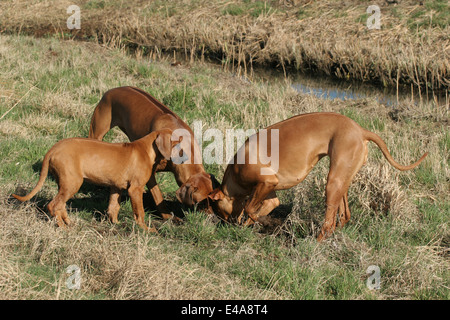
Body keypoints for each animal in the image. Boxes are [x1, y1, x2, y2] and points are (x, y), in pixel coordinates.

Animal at [13, 129, 175, 231]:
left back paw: (69, 222)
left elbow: (113, 207)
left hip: (65, 183)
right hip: (73, 182)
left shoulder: (116, 187)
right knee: (53, 205)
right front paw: (146, 229)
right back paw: (63, 228)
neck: (147, 149)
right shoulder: (135, 189)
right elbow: (139, 212)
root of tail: (53, 148)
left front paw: (116, 224)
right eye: (177, 140)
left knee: (60, 205)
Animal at [88, 85, 218, 220]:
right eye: (200, 202)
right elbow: (158, 195)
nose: (213, 218)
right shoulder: (149, 173)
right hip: (96, 132)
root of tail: (116, 88)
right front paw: (168, 217)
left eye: (212, 201)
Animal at [209, 112, 428, 240]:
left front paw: (255, 221)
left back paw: (314, 243)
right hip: (342, 181)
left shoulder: (267, 182)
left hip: (333, 182)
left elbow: (248, 208)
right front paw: (249, 224)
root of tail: (360, 130)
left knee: (328, 222)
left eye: (219, 210)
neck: (235, 171)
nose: (225, 225)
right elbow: (259, 208)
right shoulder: (270, 192)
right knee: (344, 215)